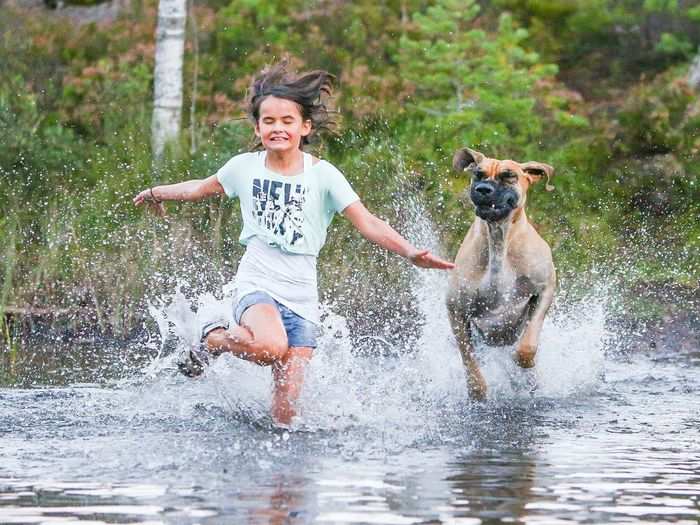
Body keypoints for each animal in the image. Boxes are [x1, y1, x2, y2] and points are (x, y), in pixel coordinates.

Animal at [448, 145, 556, 400]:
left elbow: (529, 342)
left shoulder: (545, 288)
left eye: (508, 176)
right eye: (478, 174)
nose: (483, 189)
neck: (498, 238)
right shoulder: (456, 309)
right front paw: (477, 389)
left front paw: (523, 359)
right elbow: (468, 357)